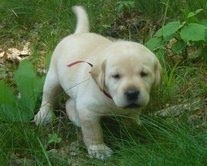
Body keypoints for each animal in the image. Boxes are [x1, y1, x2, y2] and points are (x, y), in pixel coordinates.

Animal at [34, 5, 162, 160]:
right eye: (116, 76)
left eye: (144, 74)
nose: (132, 93)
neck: (111, 99)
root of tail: (79, 33)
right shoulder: (87, 110)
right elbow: (93, 132)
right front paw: (99, 150)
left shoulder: (133, 108)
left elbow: (131, 120)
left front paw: (136, 132)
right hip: (53, 78)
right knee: (48, 96)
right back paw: (44, 115)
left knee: (70, 102)